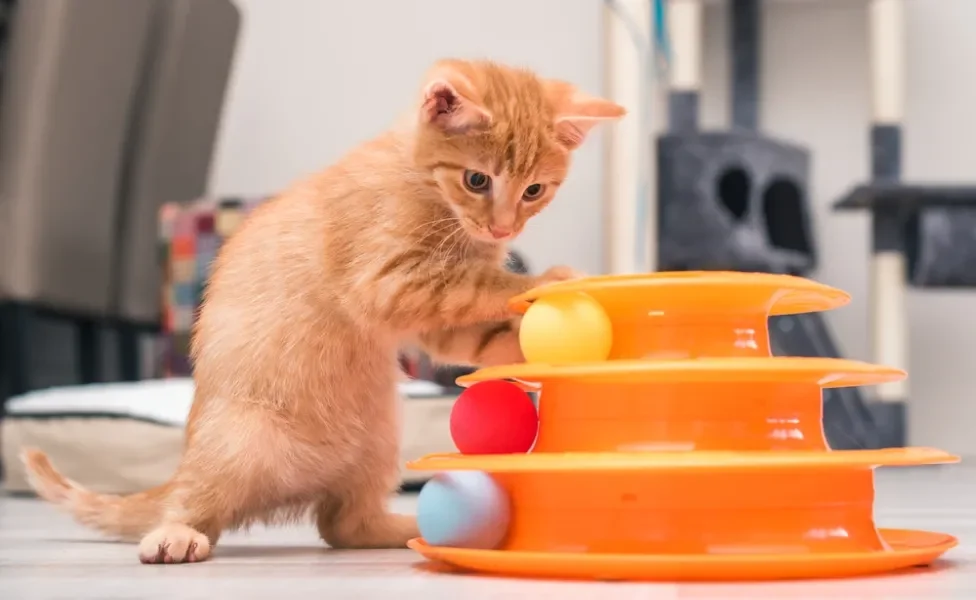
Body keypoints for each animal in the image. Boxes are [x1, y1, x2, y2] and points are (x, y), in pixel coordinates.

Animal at [22, 58, 624, 564]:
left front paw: (528, 344)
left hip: (379, 439)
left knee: (341, 527)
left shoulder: (432, 315)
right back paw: (175, 533)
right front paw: (545, 280)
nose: (502, 229)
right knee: (197, 501)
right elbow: (478, 282)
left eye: (534, 191)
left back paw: (401, 527)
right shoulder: (390, 279)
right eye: (477, 180)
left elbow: (473, 328)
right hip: (238, 441)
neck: (424, 184)